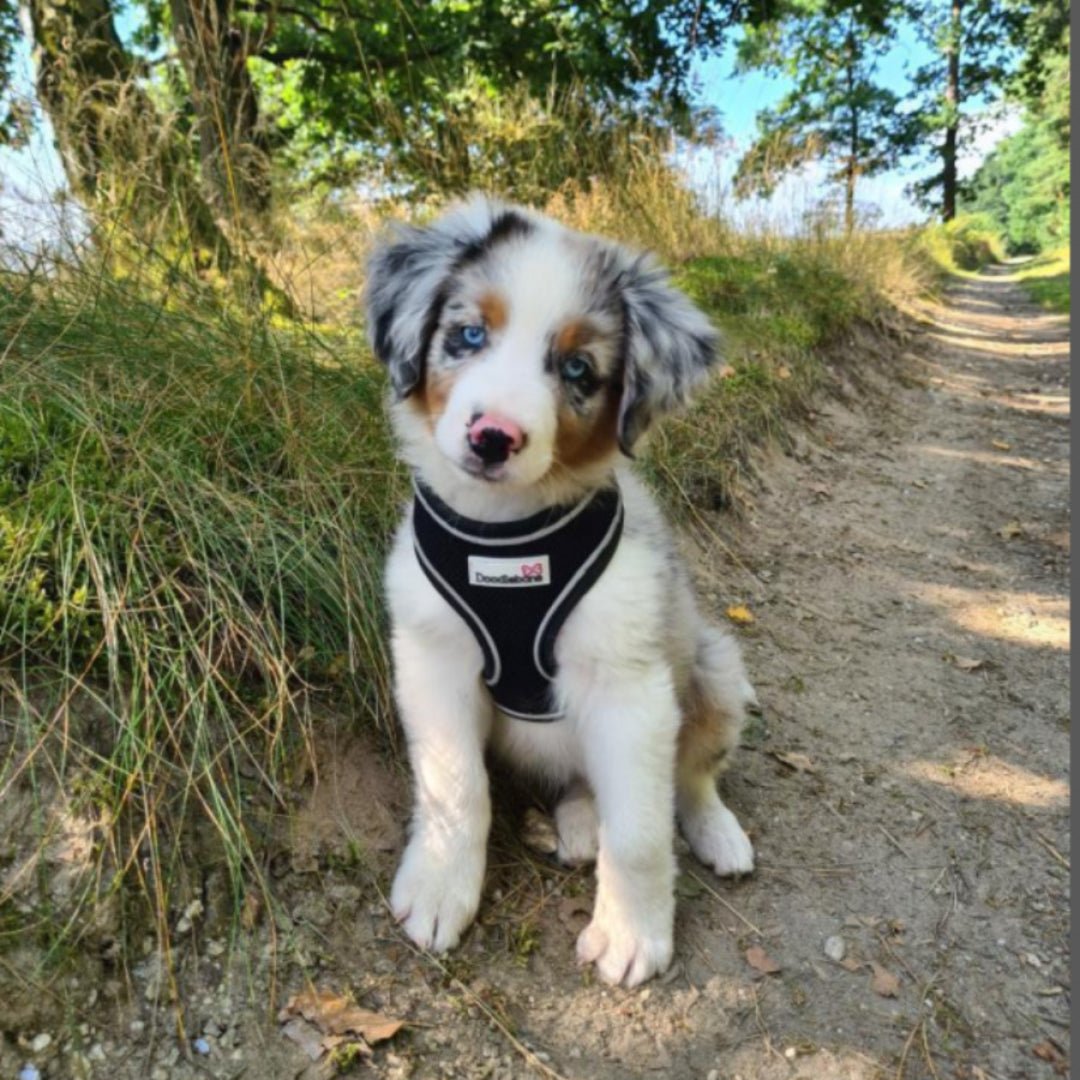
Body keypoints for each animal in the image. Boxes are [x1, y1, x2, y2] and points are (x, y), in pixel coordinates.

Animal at [367, 196, 756, 989]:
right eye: (468, 334)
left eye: (578, 368)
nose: (492, 437)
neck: (508, 534)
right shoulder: (431, 657)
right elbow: (455, 787)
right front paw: (440, 889)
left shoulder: (630, 684)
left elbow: (640, 831)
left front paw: (633, 934)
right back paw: (577, 824)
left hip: (712, 667)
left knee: (689, 777)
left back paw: (716, 833)